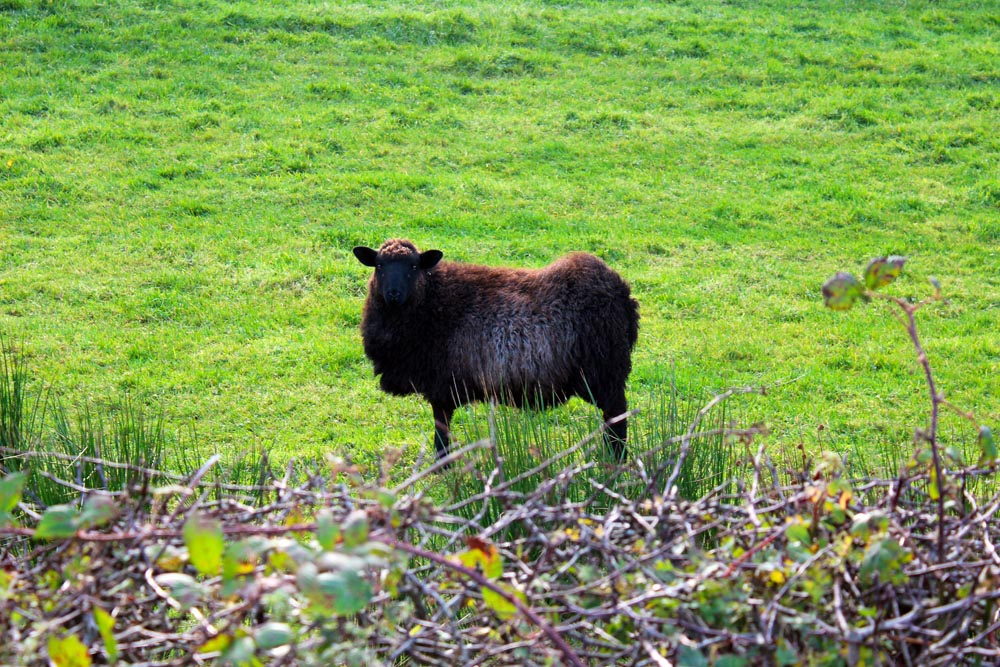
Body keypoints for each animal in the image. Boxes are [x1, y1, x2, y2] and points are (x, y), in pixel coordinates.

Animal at [352, 240, 640, 464]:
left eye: (413, 267)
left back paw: (616, 461)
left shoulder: (442, 387)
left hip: (604, 372)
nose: (393, 294)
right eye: (379, 266)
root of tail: (623, 293)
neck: (432, 301)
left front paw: (443, 471)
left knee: (617, 418)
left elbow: (441, 436)